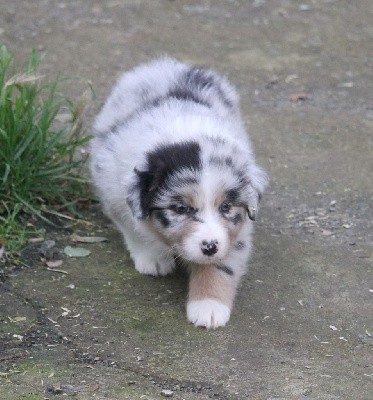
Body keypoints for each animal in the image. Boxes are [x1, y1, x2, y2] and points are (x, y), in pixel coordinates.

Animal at [89, 57, 266, 328]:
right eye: (181, 209)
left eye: (226, 206)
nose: (210, 247)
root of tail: (164, 64)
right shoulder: (114, 191)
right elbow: (135, 230)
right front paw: (153, 259)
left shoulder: (237, 228)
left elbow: (221, 264)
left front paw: (209, 306)